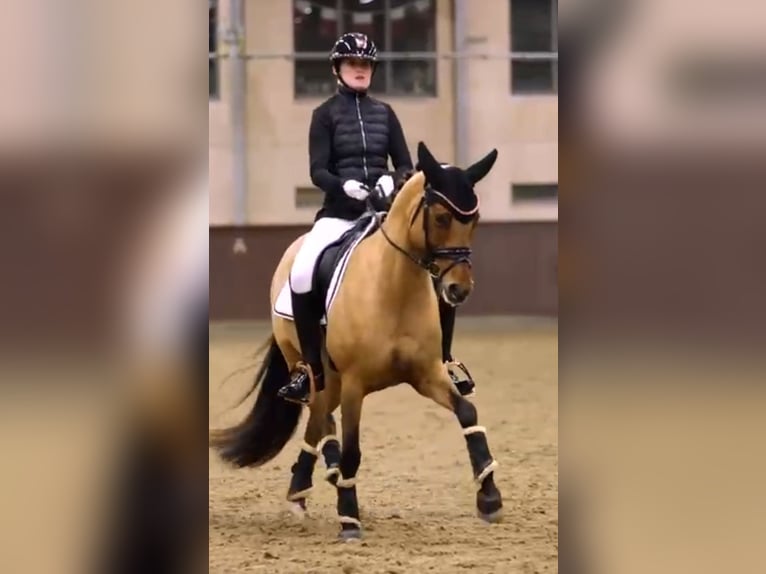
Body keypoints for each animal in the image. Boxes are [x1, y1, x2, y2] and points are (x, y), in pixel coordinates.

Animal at [210, 141, 503, 540]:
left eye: (473, 220)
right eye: (442, 217)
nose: (459, 289)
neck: (394, 289)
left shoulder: (427, 374)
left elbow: (468, 414)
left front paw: (489, 498)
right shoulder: (354, 383)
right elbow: (353, 450)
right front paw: (349, 518)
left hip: (330, 378)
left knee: (319, 420)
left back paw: (304, 490)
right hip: (310, 368)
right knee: (323, 419)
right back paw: (316, 484)